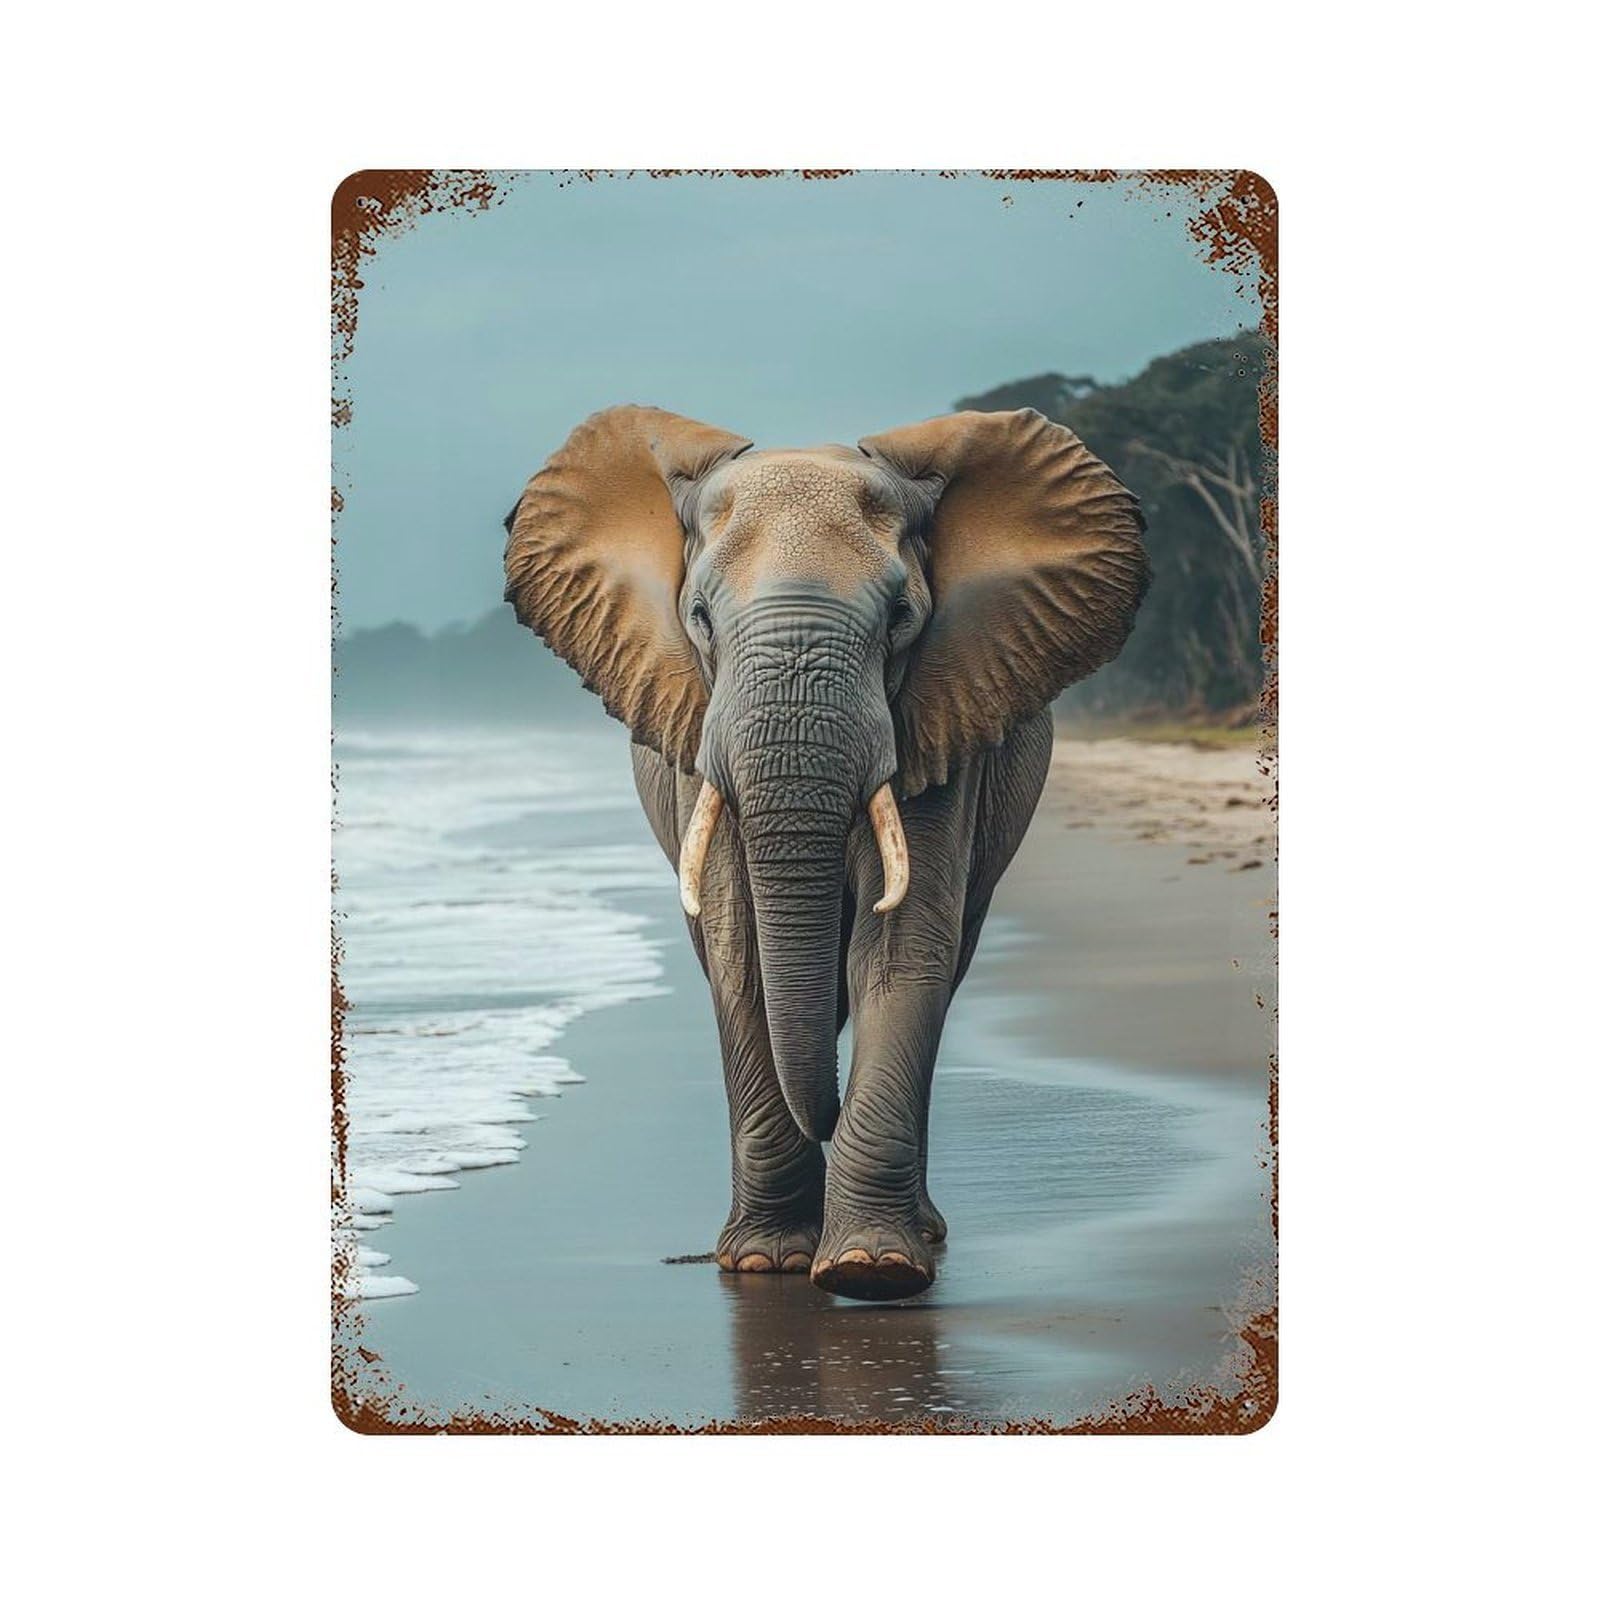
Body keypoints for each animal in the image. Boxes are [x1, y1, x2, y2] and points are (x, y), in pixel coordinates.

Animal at [504, 405, 1148, 1301]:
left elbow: (900, 949)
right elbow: (738, 952)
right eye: (700, 616)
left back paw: (920, 1230)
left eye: (902, 617)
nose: (832, 1117)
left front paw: (871, 1269)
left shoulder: (940, 717)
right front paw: (767, 1261)